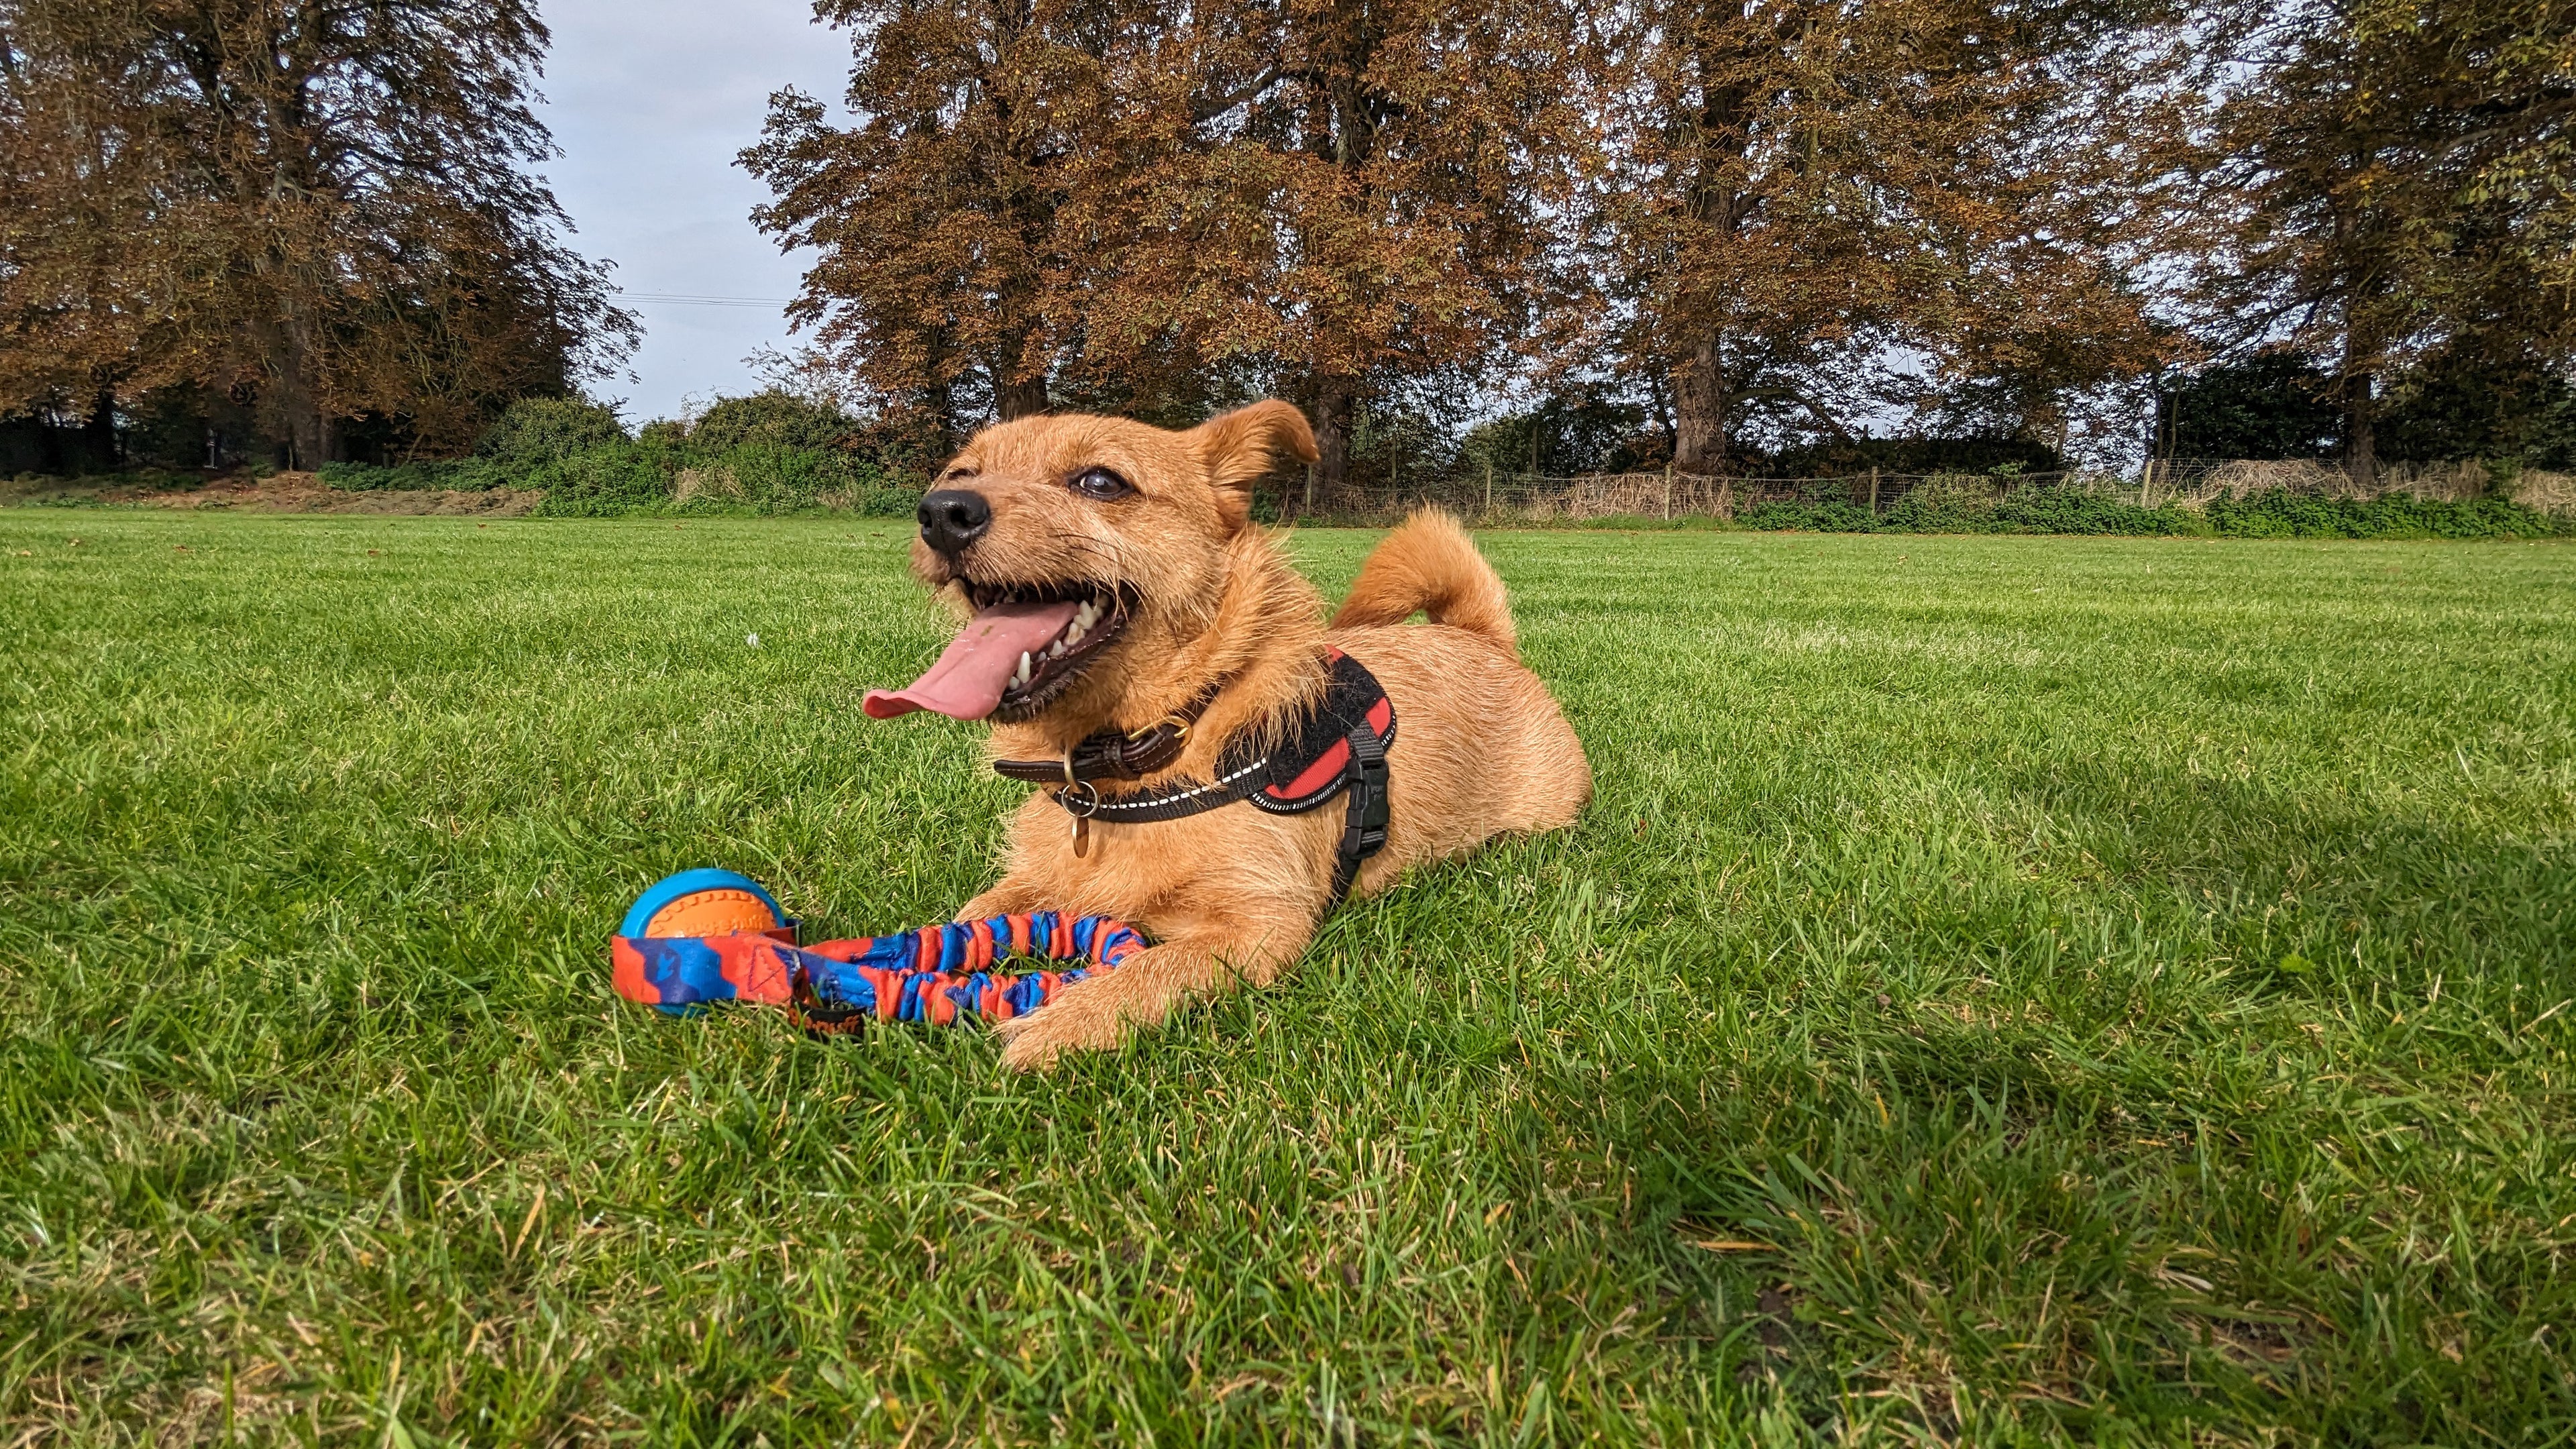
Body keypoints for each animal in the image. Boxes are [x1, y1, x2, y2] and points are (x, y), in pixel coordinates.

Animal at [865, 399, 1587, 1067]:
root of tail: (1481, 637)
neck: (1158, 745)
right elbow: (970, 914)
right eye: (961, 473)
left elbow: (1153, 969)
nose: (942, 512)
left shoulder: (1261, 924)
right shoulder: (1033, 881)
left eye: (1100, 482)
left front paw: (1063, 1023)